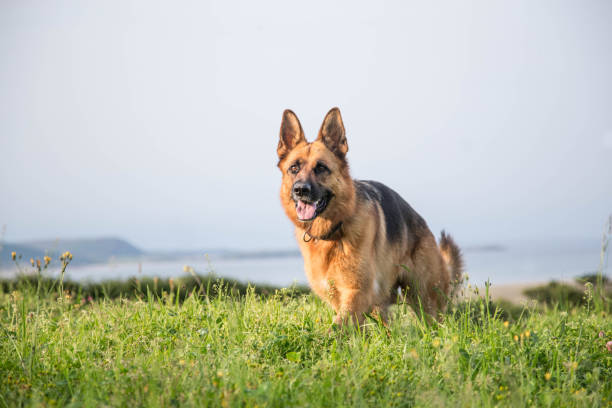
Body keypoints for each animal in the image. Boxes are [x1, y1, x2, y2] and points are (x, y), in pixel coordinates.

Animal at [278, 108, 464, 326]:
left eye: (321, 168)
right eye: (294, 168)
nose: (300, 190)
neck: (334, 231)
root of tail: (424, 225)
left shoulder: (357, 293)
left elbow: (336, 328)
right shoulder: (343, 298)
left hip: (424, 302)